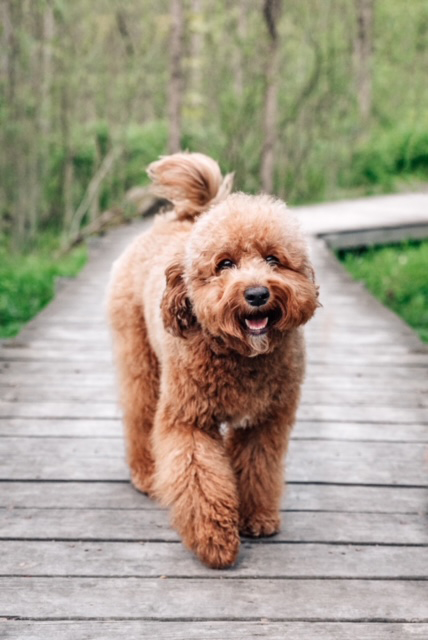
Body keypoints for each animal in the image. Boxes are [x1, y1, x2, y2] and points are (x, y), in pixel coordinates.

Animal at [108, 152, 320, 568]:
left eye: (273, 259)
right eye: (225, 264)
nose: (256, 294)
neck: (242, 358)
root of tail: (177, 222)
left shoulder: (265, 422)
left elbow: (258, 467)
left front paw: (256, 517)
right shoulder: (189, 419)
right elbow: (199, 476)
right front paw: (215, 540)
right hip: (141, 361)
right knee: (139, 414)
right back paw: (145, 473)